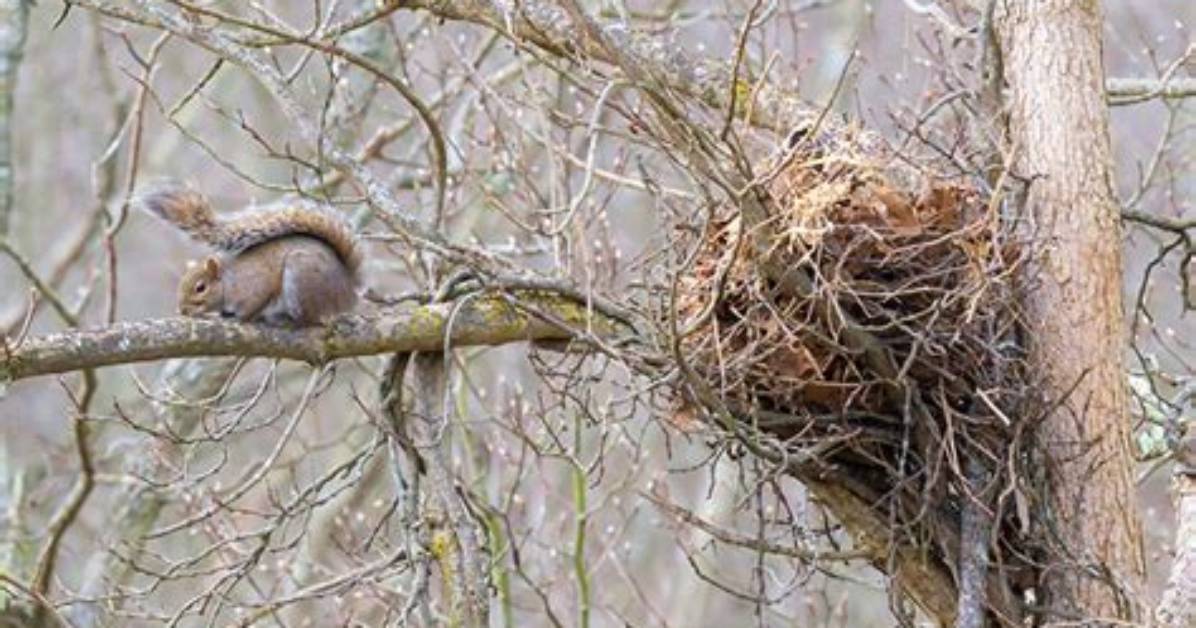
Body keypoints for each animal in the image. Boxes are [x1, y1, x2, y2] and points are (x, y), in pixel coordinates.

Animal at [138, 185, 363, 327]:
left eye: (200, 287)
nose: (182, 310)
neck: (229, 280)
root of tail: (347, 288)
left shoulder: (255, 287)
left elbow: (253, 305)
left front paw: (237, 318)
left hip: (301, 278)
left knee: (311, 319)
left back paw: (284, 319)